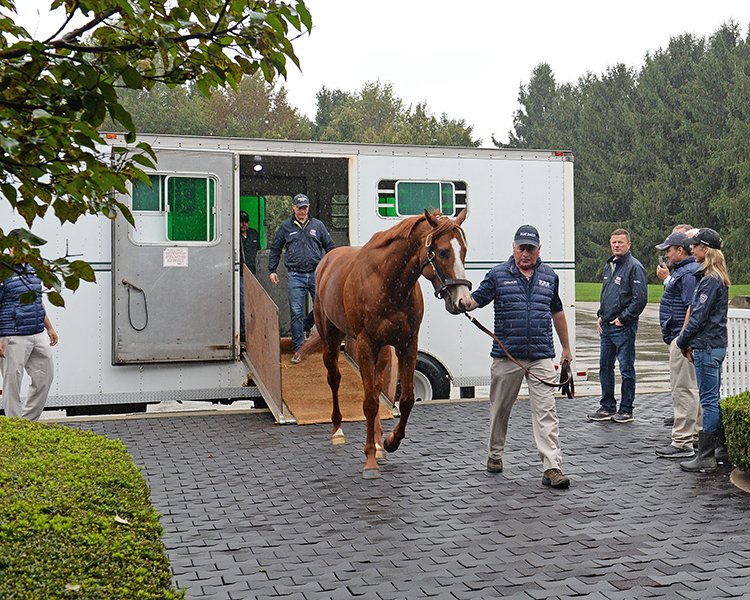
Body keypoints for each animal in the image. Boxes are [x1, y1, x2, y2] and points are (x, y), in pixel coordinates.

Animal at [309, 209, 471, 478]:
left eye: (465, 251)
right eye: (443, 252)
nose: (463, 301)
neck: (386, 281)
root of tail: (327, 260)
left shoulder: (407, 344)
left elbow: (404, 399)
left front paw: (389, 442)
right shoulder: (365, 344)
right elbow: (370, 403)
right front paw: (370, 460)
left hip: (383, 351)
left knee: (375, 386)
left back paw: (376, 441)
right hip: (330, 339)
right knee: (335, 379)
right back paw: (338, 430)